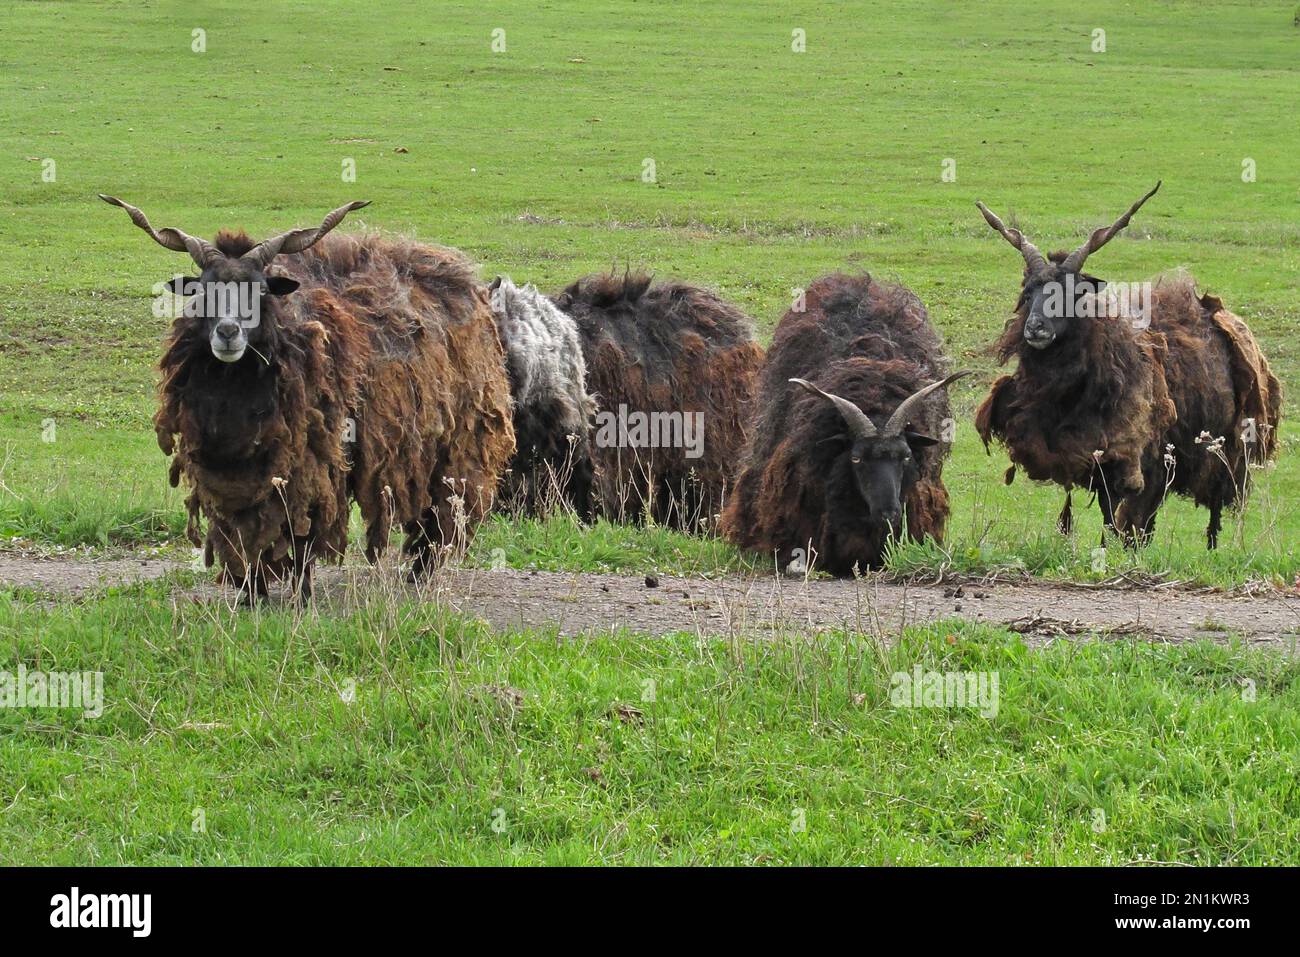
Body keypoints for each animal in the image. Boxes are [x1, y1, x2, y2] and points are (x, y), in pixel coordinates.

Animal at [977, 184, 1279, 548]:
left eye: (1073, 293)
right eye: (1028, 291)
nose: (1035, 328)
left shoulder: (1140, 464)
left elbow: (1127, 523)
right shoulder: (1103, 464)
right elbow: (1111, 518)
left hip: (1228, 454)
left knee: (1212, 509)